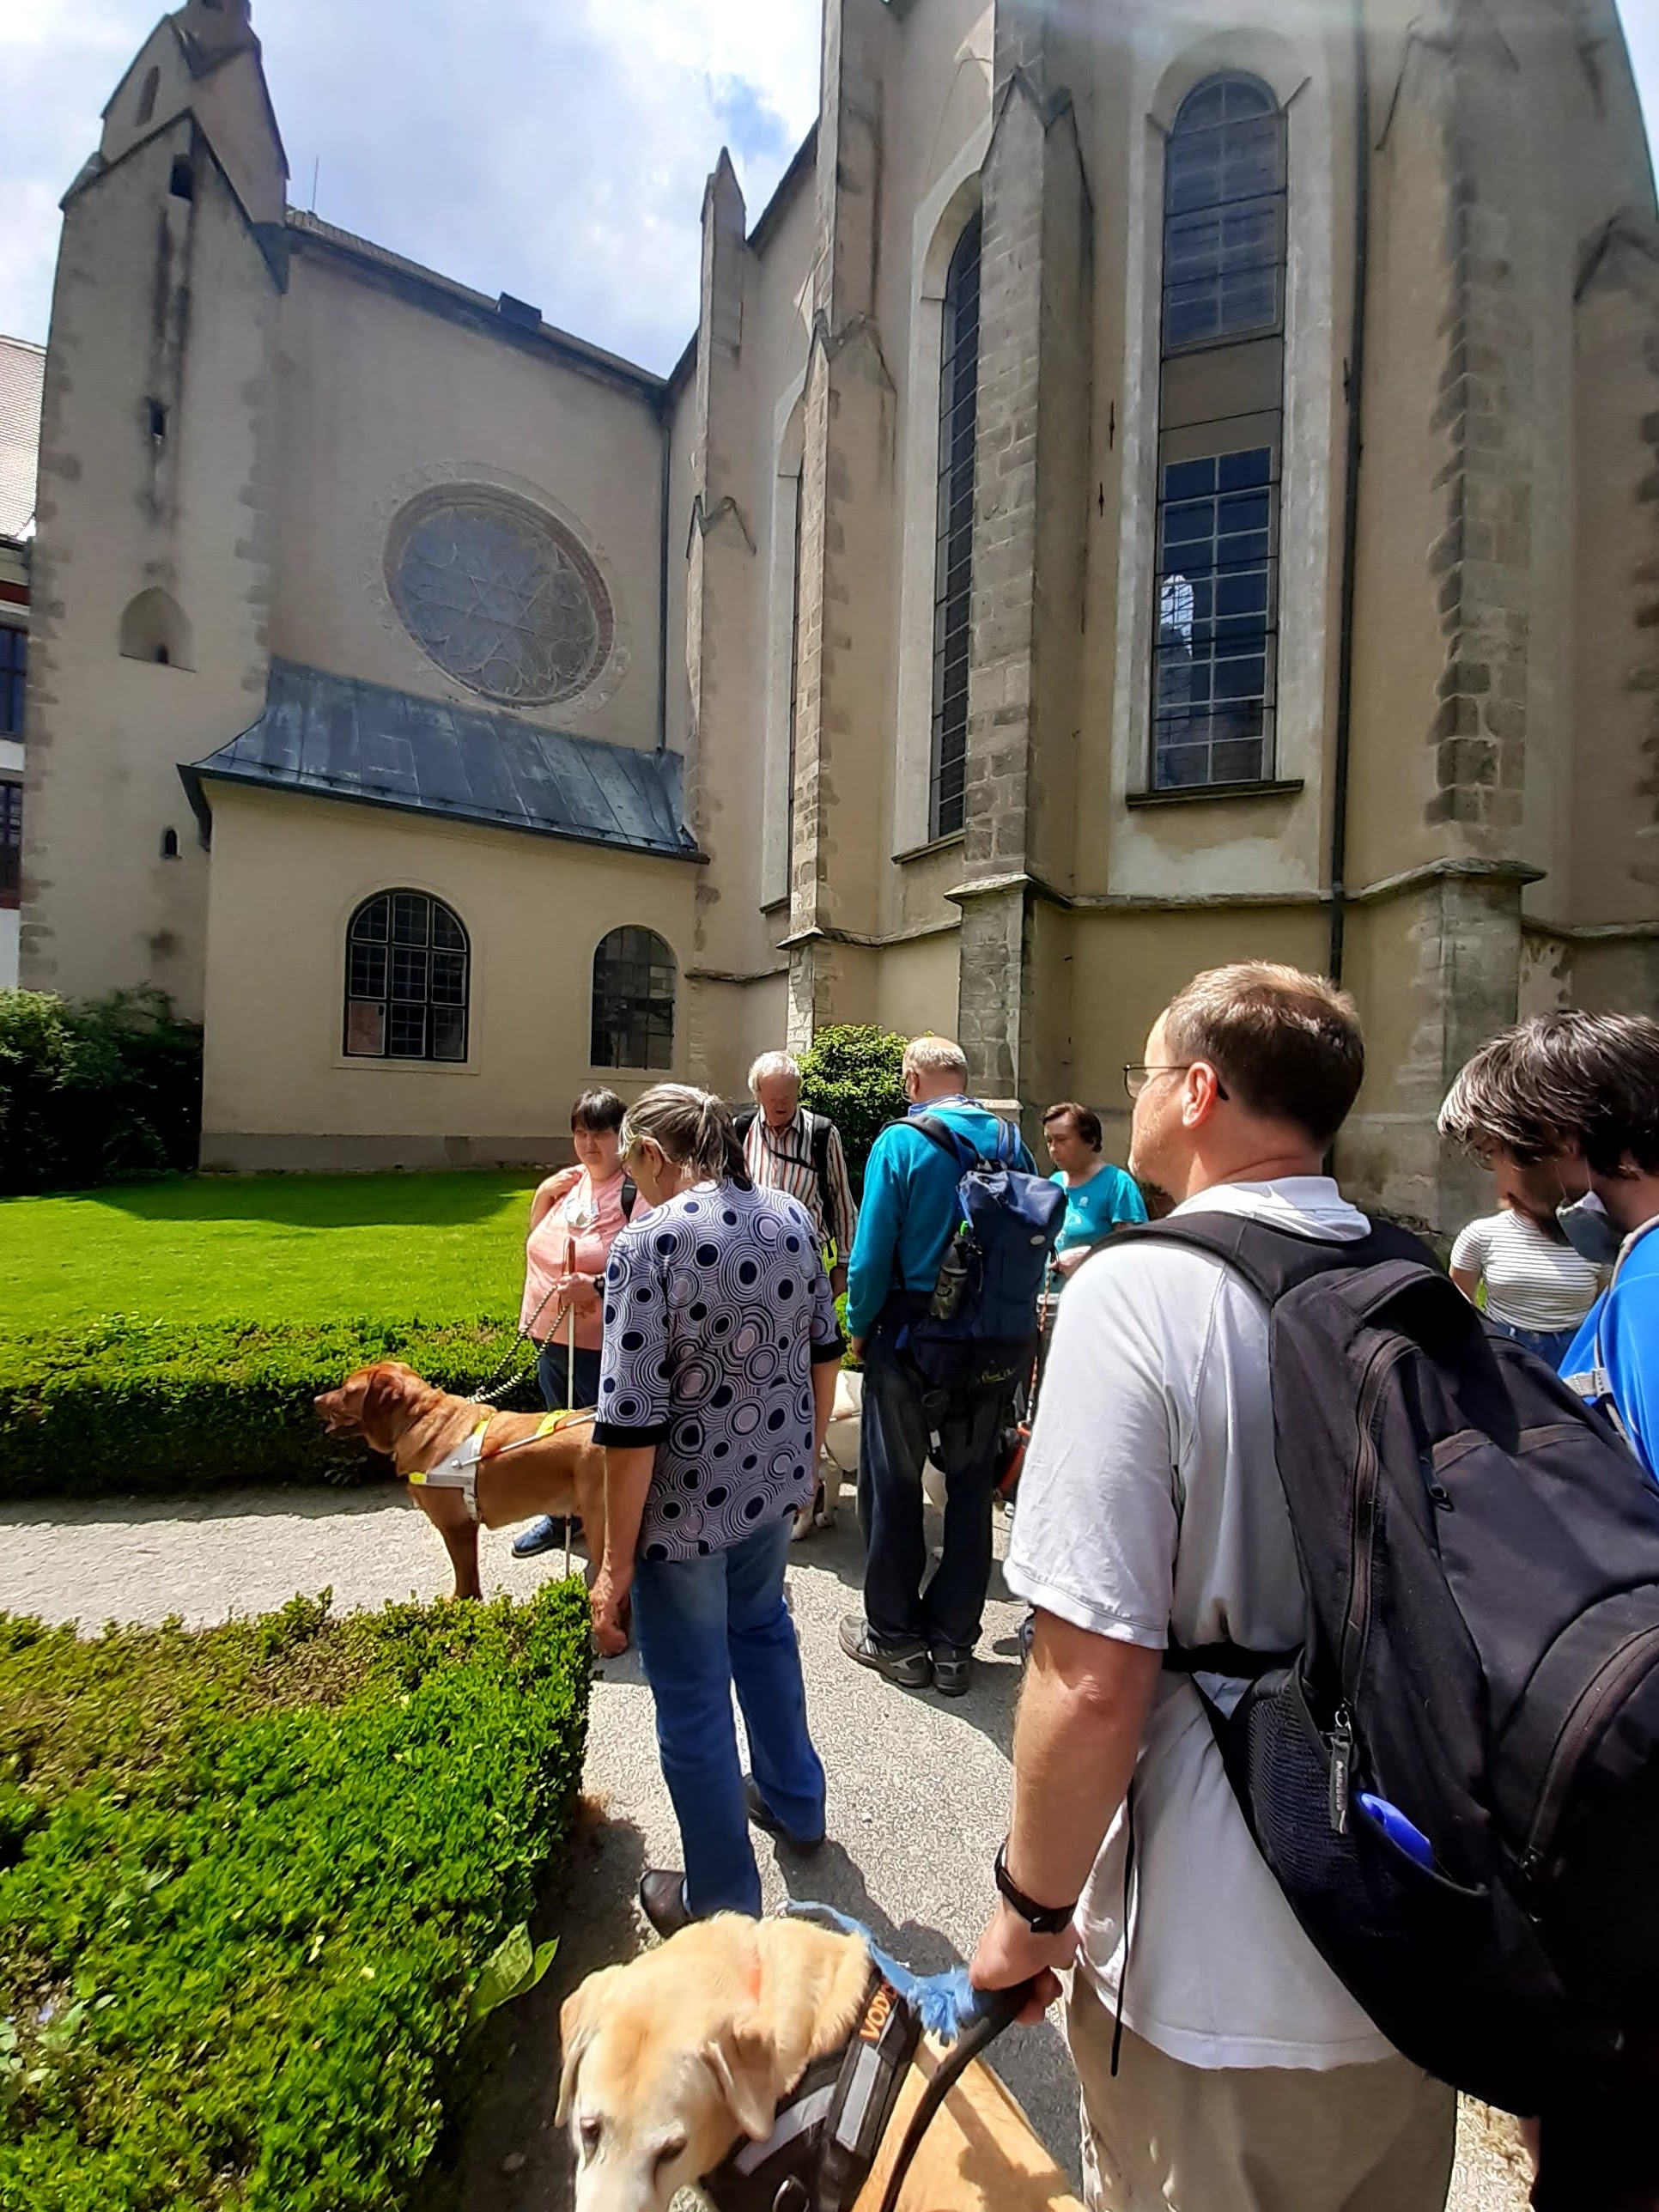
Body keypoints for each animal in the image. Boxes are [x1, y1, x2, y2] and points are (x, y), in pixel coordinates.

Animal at [314, 1360, 606, 1602]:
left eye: (347, 1389)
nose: (316, 1399)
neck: (419, 1419)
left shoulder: (457, 1528)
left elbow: (465, 1578)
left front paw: (461, 1603)